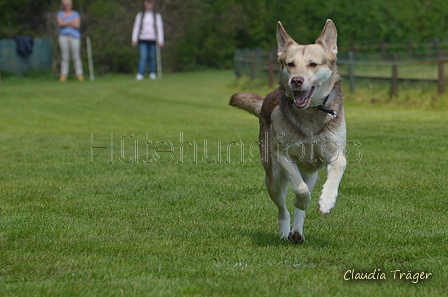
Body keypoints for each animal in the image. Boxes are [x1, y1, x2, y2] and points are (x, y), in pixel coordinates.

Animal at [229, 19, 344, 243]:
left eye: (313, 64)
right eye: (290, 64)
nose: (296, 81)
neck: (309, 113)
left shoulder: (335, 152)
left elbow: (337, 168)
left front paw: (327, 201)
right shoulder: (281, 154)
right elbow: (299, 189)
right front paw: (302, 201)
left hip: (311, 174)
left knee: (303, 199)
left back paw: (297, 232)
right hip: (272, 177)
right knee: (282, 206)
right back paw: (285, 231)